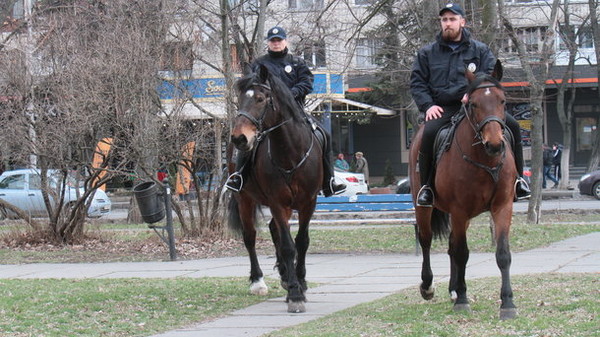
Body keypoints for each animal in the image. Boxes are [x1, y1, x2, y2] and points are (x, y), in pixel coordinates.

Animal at [229, 63, 324, 312]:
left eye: (261, 99)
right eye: (240, 99)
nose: (239, 138)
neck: (290, 152)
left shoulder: (309, 202)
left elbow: (301, 241)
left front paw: (300, 282)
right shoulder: (277, 202)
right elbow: (288, 245)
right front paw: (295, 294)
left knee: (274, 231)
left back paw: (284, 274)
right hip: (245, 199)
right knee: (250, 237)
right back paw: (258, 281)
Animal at [410, 59, 516, 318]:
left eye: (502, 100)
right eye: (474, 103)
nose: (495, 144)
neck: (485, 160)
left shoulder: (502, 206)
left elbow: (502, 254)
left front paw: (507, 303)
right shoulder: (459, 210)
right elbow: (462, 253)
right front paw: (463, 300)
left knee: (450, 245)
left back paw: (453, 290)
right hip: (425, 207)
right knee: (426, 240)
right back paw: (429, 286)